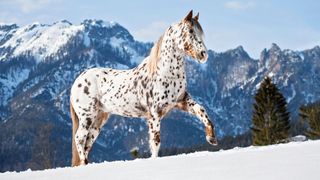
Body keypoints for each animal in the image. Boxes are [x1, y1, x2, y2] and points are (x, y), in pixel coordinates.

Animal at [70, 10, 218, 166]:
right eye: (190, 30)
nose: (203, 54)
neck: (165, 73)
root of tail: (77, 81)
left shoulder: (181, 101)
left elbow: (201, 110)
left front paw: (211, 138)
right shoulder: (154, 114)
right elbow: (155, 141)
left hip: (99, 119)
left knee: (87, 142)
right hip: (87, 117)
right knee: (79, 138)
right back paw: (85, 162)